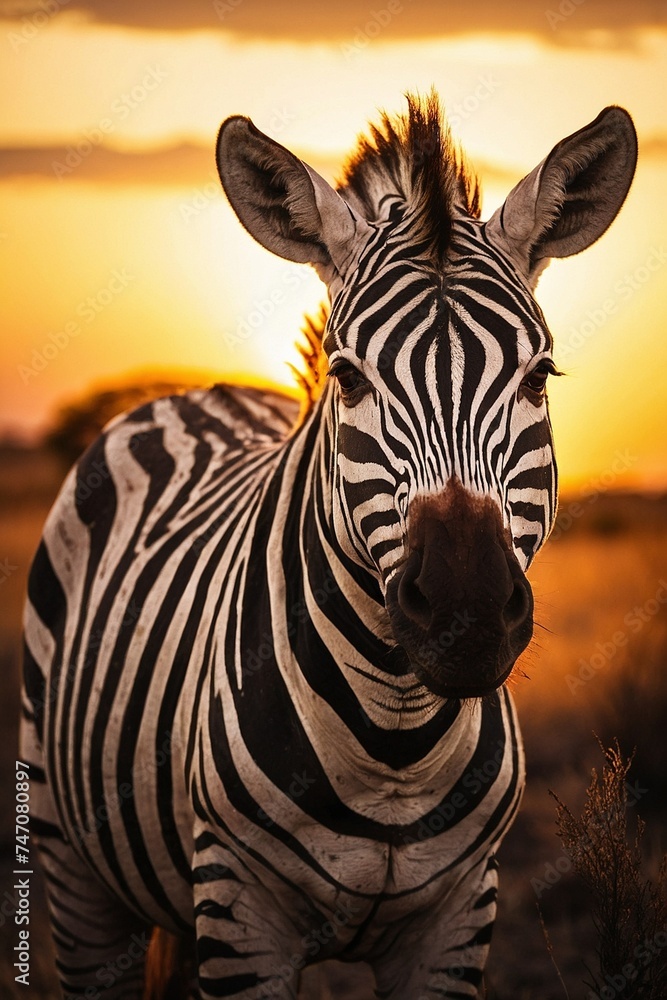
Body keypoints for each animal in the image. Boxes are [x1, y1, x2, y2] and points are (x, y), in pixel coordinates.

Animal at [21, 93, 636, 999]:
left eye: (539, 378)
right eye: (346, 377)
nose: (464, 617)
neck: (396, 745)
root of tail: (202, 392)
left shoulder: (457, 919)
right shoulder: (243, 916)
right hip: (72, 860)